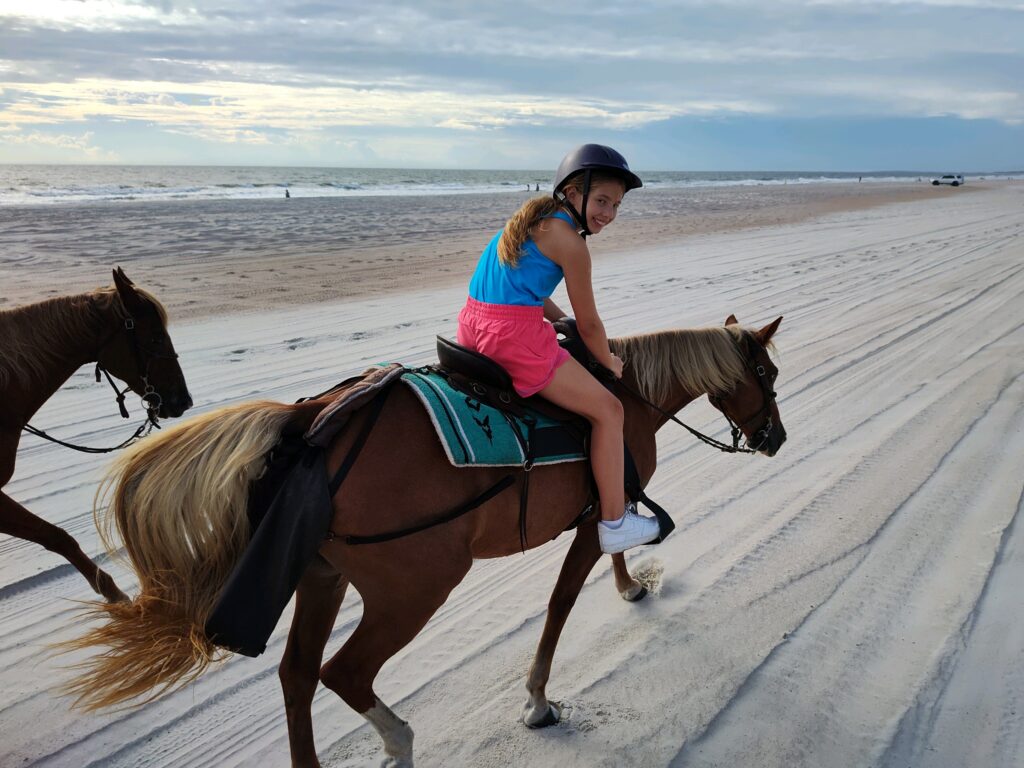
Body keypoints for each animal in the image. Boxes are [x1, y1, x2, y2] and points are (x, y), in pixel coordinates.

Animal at [64, 313, 782, 768]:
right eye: (769, 375)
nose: (775, 437)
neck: (623, 392)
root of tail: (313, 418)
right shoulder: (591, 518)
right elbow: (560, 605)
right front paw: (537, 700)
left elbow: (606, 559)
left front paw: (630, 586)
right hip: (414, 587)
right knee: (342, 672)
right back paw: (400, 743)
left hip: (323, 576)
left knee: (298, 675)